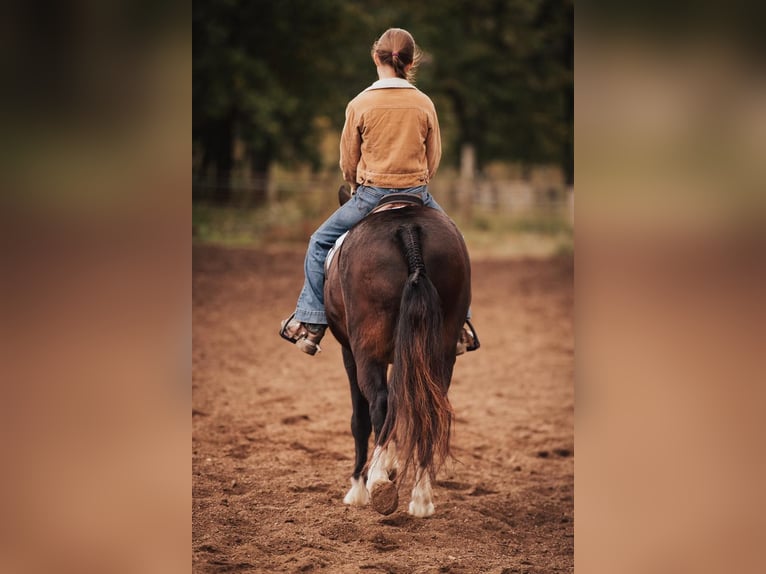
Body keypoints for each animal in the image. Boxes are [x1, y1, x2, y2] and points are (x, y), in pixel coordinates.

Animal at [326, 188, 474, 516]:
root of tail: (408, 230)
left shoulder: (349, 353)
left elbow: (361, 418)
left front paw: (359, 488)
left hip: (366, 351)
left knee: (379, 402)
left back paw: (378, 481)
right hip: (439, 350)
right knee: (428, 408)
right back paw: (421, 498)